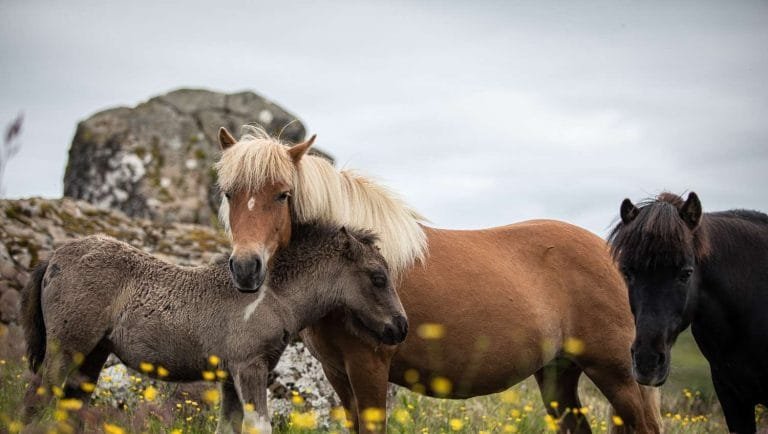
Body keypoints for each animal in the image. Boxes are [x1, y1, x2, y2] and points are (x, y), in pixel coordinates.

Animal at [20, 222, 408, 434]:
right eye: (378, 277)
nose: (400, 328)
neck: (270, 295)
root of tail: (52, 257)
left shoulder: (229, 376)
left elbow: (228, 426)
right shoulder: (249, 367)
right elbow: (258, 425)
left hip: (93, 355)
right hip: (67, 347)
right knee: (36, 402)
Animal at [214, 125, 661, 433]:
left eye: (283, 194)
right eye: (228, 193)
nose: (246, 268)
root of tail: (610, 253)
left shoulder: (368, 367)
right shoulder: (338, 372)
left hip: (618, 374)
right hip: (558, 373)